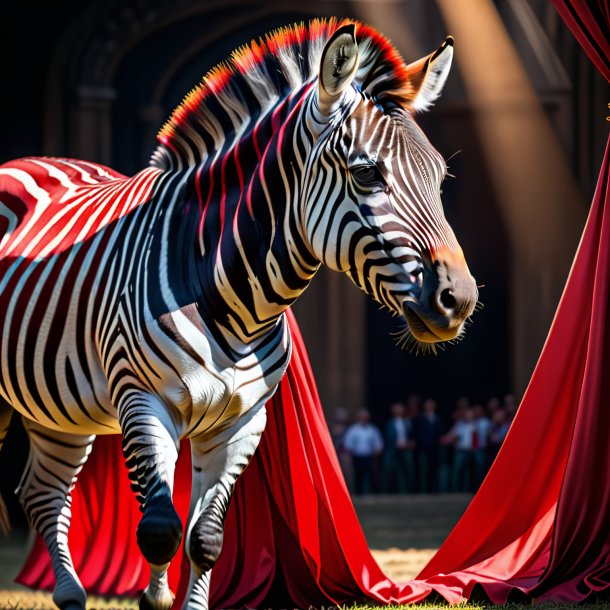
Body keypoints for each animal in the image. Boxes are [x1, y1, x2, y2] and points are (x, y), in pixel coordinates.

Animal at [0, 19, 476, 608]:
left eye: (439, 177)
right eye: (367, 175)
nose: (459, 299)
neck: (233, 304)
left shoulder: (242, 421)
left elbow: (204, 538)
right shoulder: (143, 400)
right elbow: (159, 529)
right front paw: (154, 597)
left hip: (57, 409)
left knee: (42, 493)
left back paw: (68, 595)